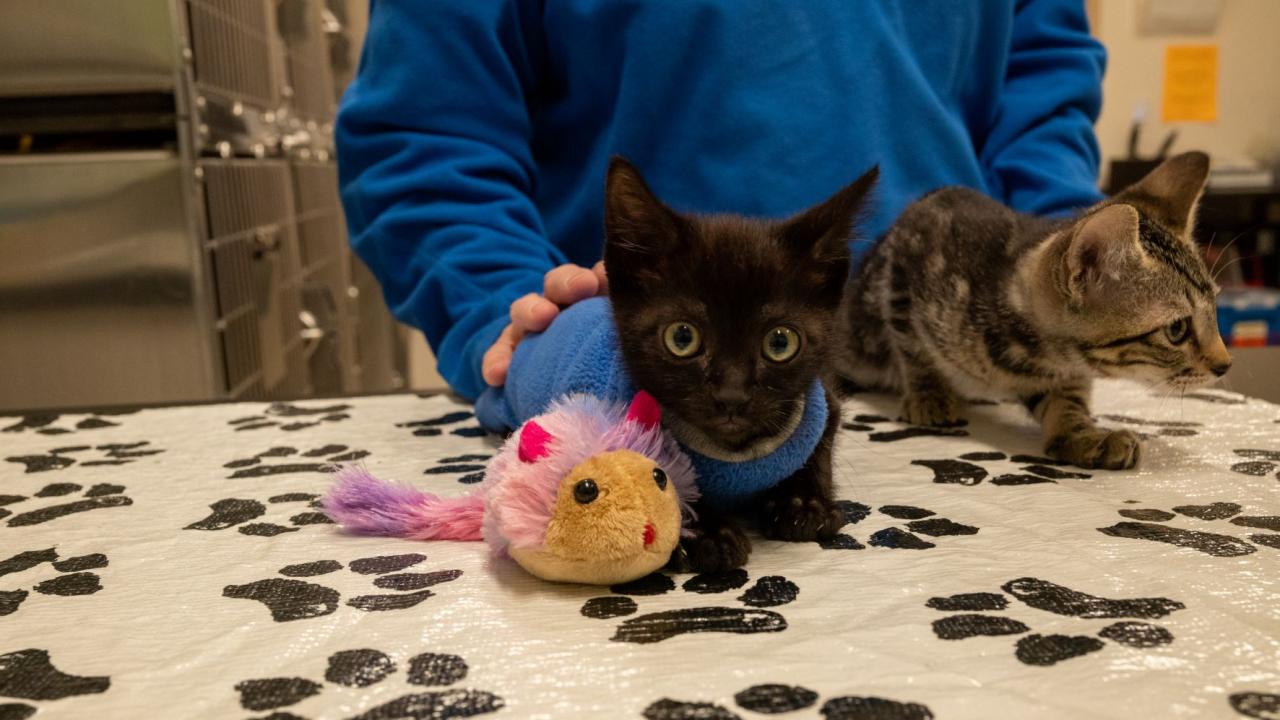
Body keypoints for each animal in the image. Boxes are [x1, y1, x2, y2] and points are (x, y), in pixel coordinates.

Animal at [604, 154, 875, 568]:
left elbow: (820, 448)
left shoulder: (827, 402)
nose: (731, 396)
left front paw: (804, 502)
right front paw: (706, 532)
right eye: (682, 338)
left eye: (780, 342)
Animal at [834, 148, 1233, 468]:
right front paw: (928, 394)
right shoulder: (906, 257)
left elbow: (1066, 399)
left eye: (1214, 309)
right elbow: (912, 346)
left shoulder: (1061, 371)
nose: (1225, 365)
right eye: (1177, 329)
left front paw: (1079, 435)